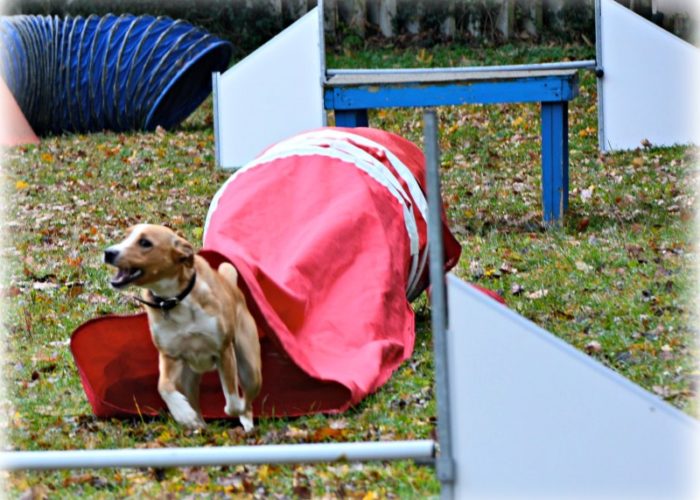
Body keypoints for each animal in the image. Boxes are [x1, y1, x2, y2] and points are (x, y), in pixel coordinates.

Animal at [106, 225, 262, 432]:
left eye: (145, 242)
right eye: (125, 236)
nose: (108, 252)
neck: (174, 300)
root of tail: (231, 286)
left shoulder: (224, 352)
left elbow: (233, 401)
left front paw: (234, 409)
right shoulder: (169, 356)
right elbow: (163, 387)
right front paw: (184, 414)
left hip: (250, 368)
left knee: (248, 397)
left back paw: (247, 422)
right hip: (188, 378)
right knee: (194, 402)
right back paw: (197, 424)